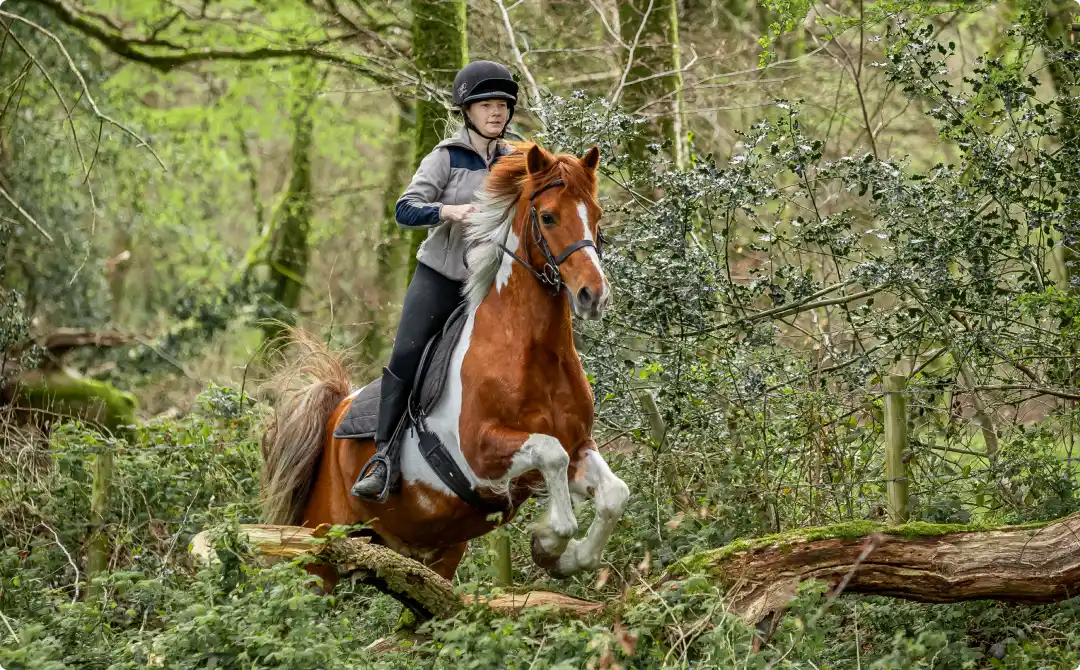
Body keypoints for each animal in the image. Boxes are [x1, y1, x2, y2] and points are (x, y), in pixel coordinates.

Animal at [259, 142, 629, 590]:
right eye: (549, 216)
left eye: (596, 214)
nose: (594, 295)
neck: (532, 352)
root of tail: (335, 411)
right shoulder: (480, 452)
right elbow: (550, 454)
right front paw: (548, 539)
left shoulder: (578, 447)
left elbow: (614, 494)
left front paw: (564, 557)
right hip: (321, 548)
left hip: (439, 552)